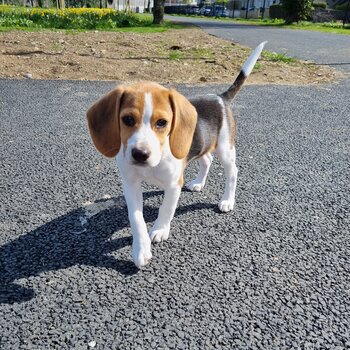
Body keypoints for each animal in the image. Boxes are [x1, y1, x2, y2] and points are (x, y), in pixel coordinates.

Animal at [87, 41, 266, 266]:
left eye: (162, 122)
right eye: (127, 119)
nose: (140, 154)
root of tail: (220, 97)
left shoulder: (173, 184)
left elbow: (166, 208)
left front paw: (160, 229)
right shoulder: (130, 183)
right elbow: (136, 219)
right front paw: (140, 249)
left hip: (225, 149)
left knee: (232, 172)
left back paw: (227, 200)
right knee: (206, 160)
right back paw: (198, 183)